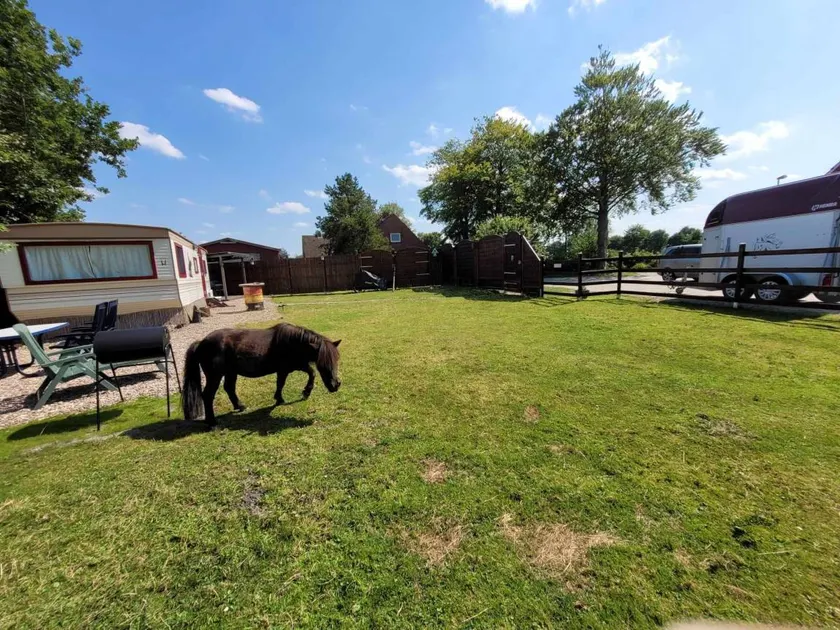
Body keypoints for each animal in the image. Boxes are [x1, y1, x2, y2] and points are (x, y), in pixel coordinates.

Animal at [182, 323, 341, 426]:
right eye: (322, 363)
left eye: (336, 360)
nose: (335, 385)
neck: (292, 342)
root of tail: (201, 343)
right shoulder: (284, 369)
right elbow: (281, 383)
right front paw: (280, 399)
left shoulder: (297, 365)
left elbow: (311, 373)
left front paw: (305, 392)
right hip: (215, 376)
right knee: (208, 395)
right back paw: (212, 421)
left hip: (230, 372)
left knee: (229, 388)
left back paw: (240, 406)